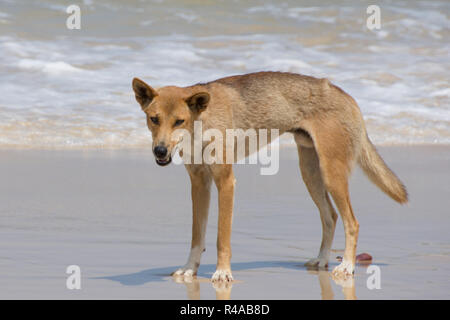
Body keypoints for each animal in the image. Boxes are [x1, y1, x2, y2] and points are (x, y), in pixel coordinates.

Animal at [131, 71, 408, 282]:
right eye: (154, 119)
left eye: (179, 121)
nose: (160, 151)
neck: (202, 123)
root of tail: (347, 96)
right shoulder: (199, 183)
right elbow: (196, 236)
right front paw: (190, 268)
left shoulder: (226, 182)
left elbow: (222, 238)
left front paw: (223, 273)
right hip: (310, 174)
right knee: (330, 216)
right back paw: (321, 260)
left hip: (332, 174)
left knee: (352, 222)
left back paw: (347, 266)